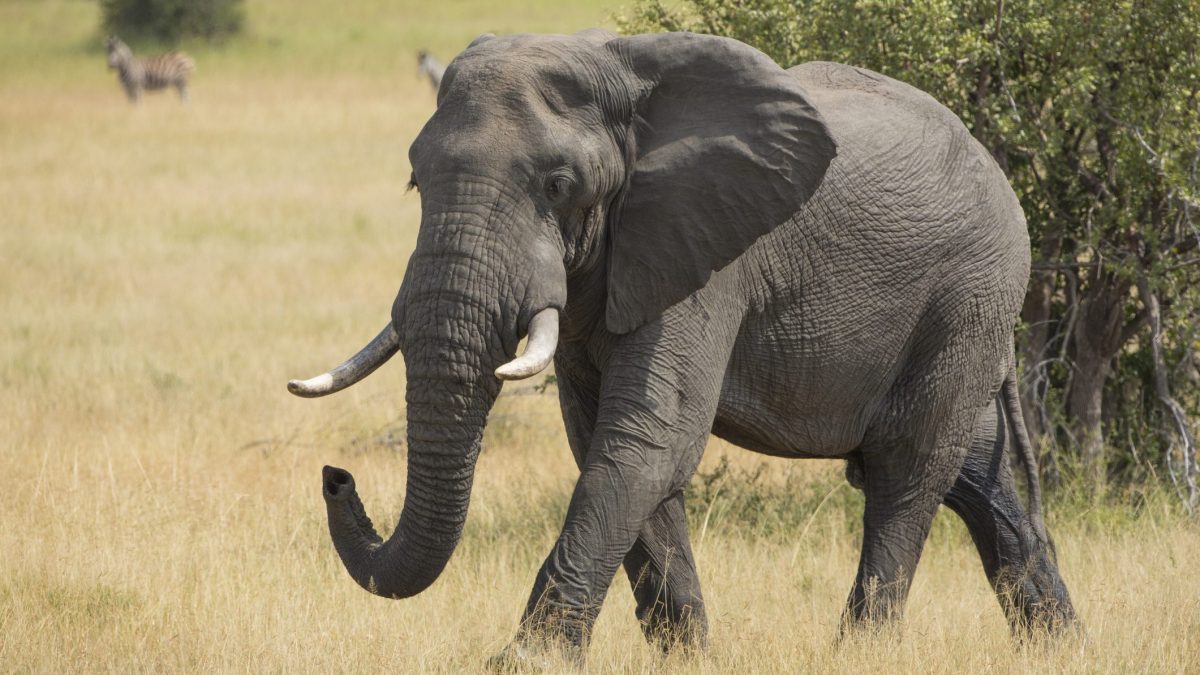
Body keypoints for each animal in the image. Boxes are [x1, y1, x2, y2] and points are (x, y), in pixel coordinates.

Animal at [288, 29, 1076, 660]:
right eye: (415, 182)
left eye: (559, 184)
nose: (336, 476)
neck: (618, 70)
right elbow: (608, 442)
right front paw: (686, 656)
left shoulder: (711, 248)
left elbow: (648, 438)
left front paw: (526, 661)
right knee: (974, 472)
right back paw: (1059, 646)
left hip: (971, 290)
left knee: (906, 470)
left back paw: (865, 652)